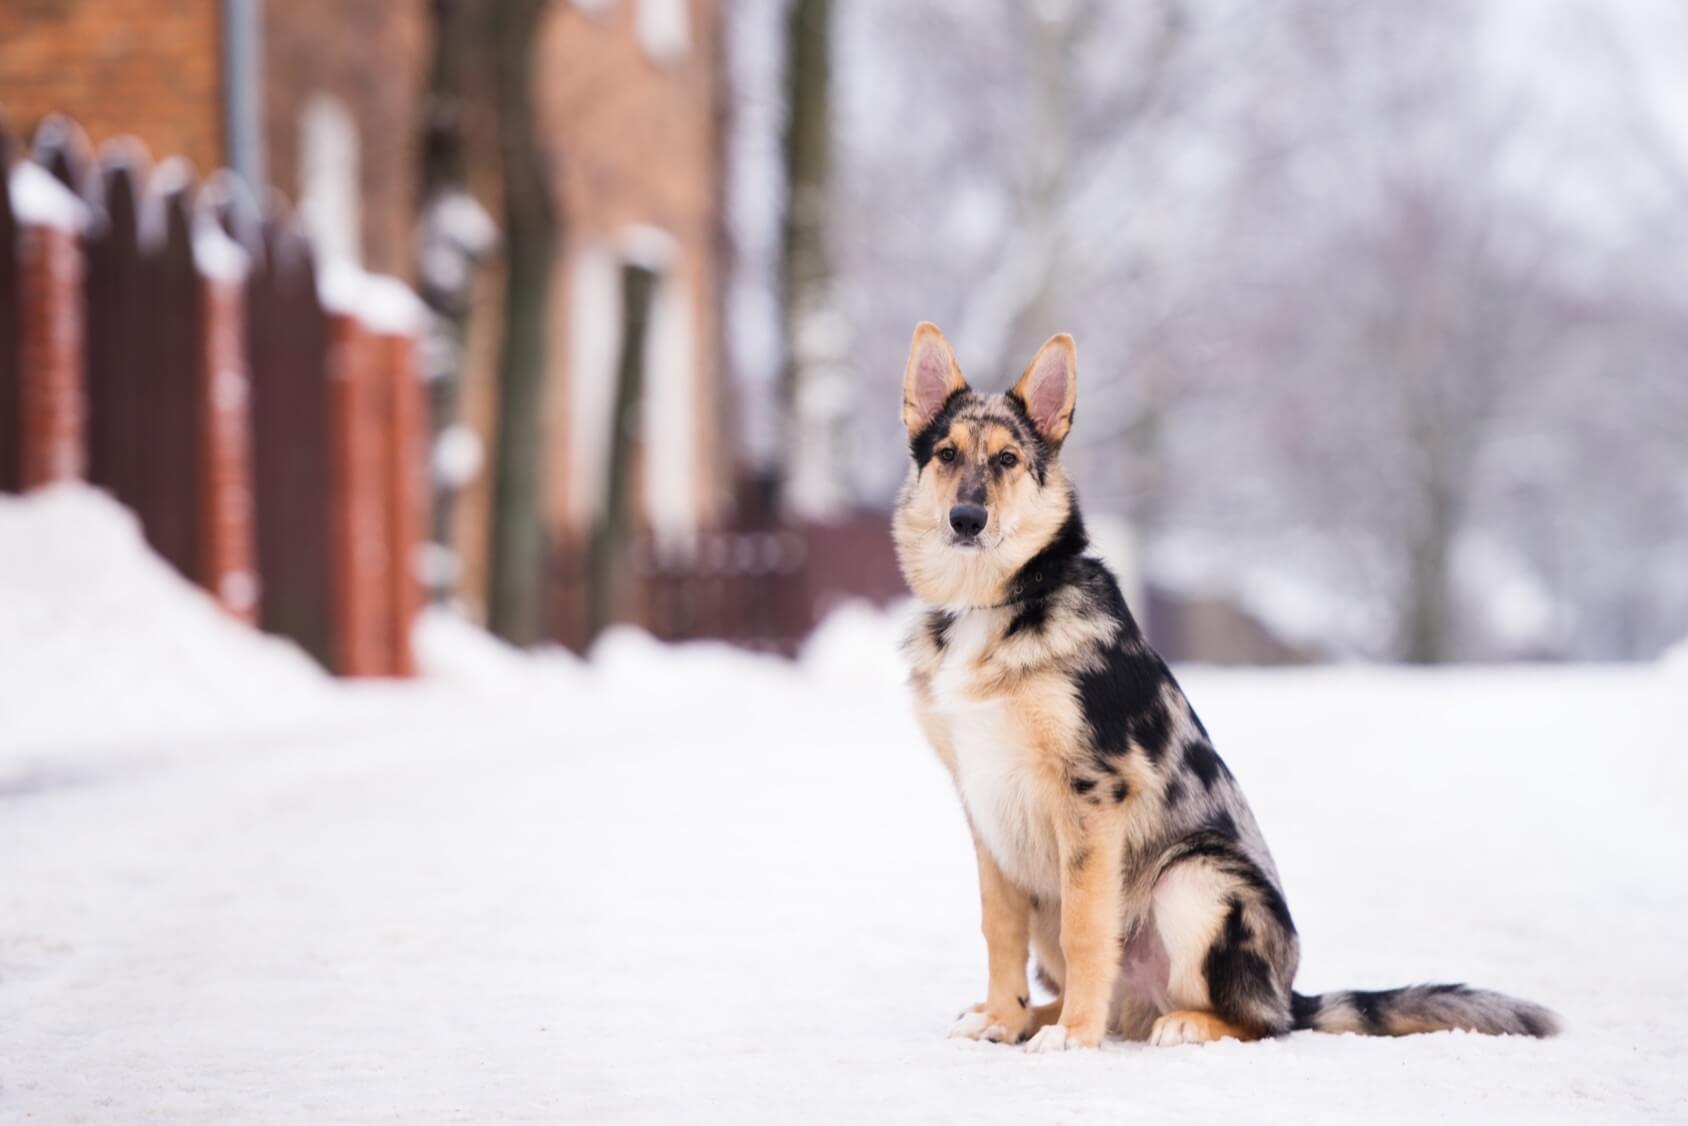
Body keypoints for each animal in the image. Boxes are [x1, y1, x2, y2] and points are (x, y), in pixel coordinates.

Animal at [891, 320, 1559, 1053]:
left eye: (1008, 460)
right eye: (946, 454)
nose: (966, 519)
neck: (995, 601)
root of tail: (1290, 991)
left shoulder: (1093, 795)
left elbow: (1087, 931)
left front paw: (1074, 1038)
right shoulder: (985, 809)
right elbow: (999, 930)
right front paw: (1002, 1018)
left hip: (1195, 878)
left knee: (1258, 1024)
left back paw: (1169, 1021)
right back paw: (1042, 1016)